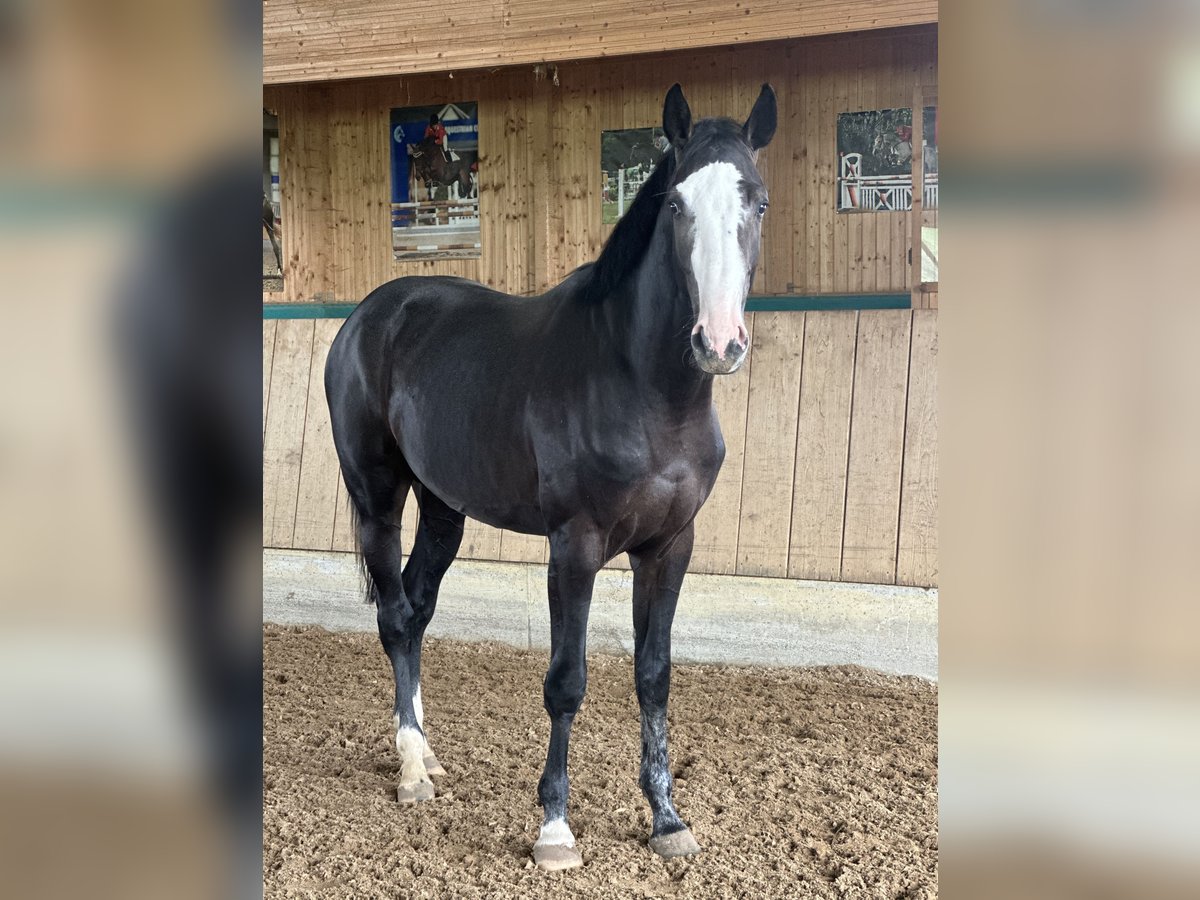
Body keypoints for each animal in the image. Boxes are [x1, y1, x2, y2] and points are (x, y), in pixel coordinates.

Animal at [326, 84, 777, 873]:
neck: (645, 388)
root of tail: (366, 317)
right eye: (675, 203)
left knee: (416, 610)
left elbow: (653, 674)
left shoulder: (670, 547)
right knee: (393, 615)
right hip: (377, 497)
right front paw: (555, 829)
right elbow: (567, 682)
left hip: (443, 510)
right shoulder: (576, 547)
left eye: (757, 201)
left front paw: (667, 820)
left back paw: (426, 749)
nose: (718, 344)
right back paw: (412, 768)